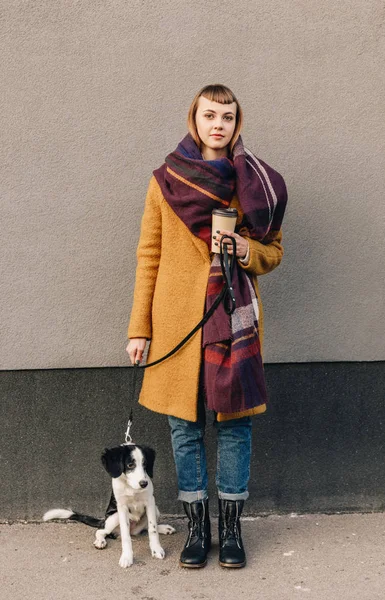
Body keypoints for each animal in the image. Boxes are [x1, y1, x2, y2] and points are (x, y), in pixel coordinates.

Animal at [42, 446, 174, 568]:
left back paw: (164, 528)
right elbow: (125, 536)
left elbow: (152, 528)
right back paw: (100, 541)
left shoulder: (150, 502)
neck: (131, 487)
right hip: (113, 517)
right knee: (101, 531)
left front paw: (156, 549)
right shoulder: (122, 507)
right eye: (130, 465)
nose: (144, 483)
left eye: (145, 464)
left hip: (155, 509)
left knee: (144, 528)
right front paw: (127, 557)